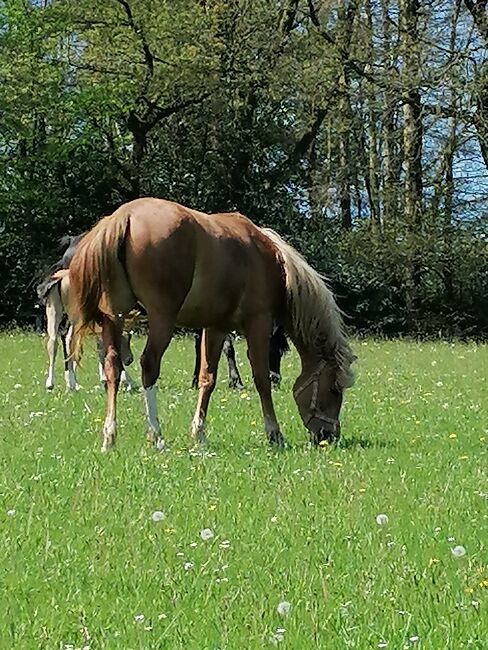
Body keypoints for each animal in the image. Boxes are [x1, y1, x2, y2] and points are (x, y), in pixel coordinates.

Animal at [68, 197, 356, 450]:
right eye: (334, 390)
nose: (329, 435)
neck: (273, 261)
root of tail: (124, 216)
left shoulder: (216, 327)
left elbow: (208, 378)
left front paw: (199, 435)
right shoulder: (258, 322)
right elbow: (260, 378)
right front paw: (275, 434)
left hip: (113, 318)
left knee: (112, 367)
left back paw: (109, 437)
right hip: (161, 319)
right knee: (149, 366)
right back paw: (156, 436)